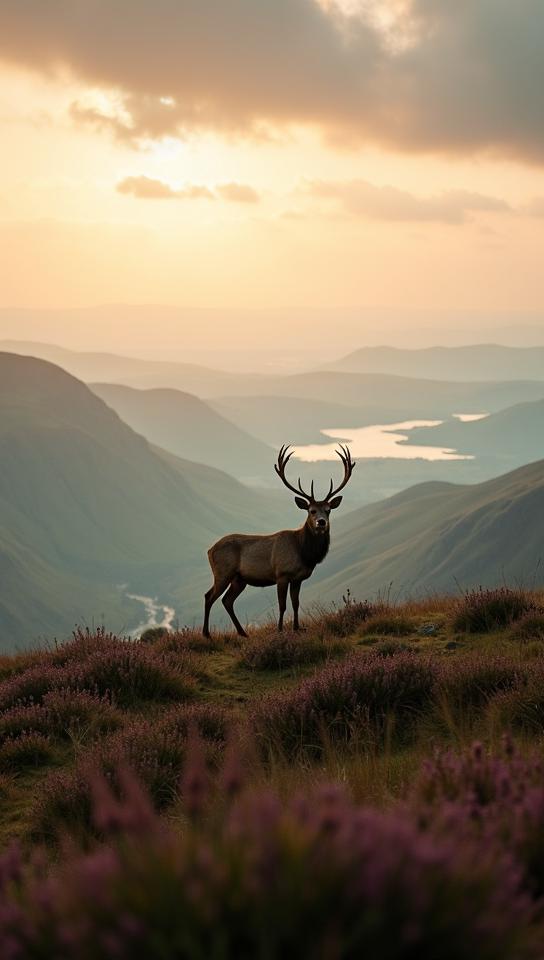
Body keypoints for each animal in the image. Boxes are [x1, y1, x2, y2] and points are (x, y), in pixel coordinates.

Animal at [203, 444, 355, 638]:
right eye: (311, 510)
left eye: (328, 510)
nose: (321, 522)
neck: (304, 553)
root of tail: (209, 550)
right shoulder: (281, 574)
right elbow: (282, 605)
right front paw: (280, 629)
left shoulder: (298, 578)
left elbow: (296, 604)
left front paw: (297, 628)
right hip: (223, 572)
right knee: (209, 596)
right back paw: (206, 634)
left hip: (239, 579)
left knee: (227, 601)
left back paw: (243, 633)